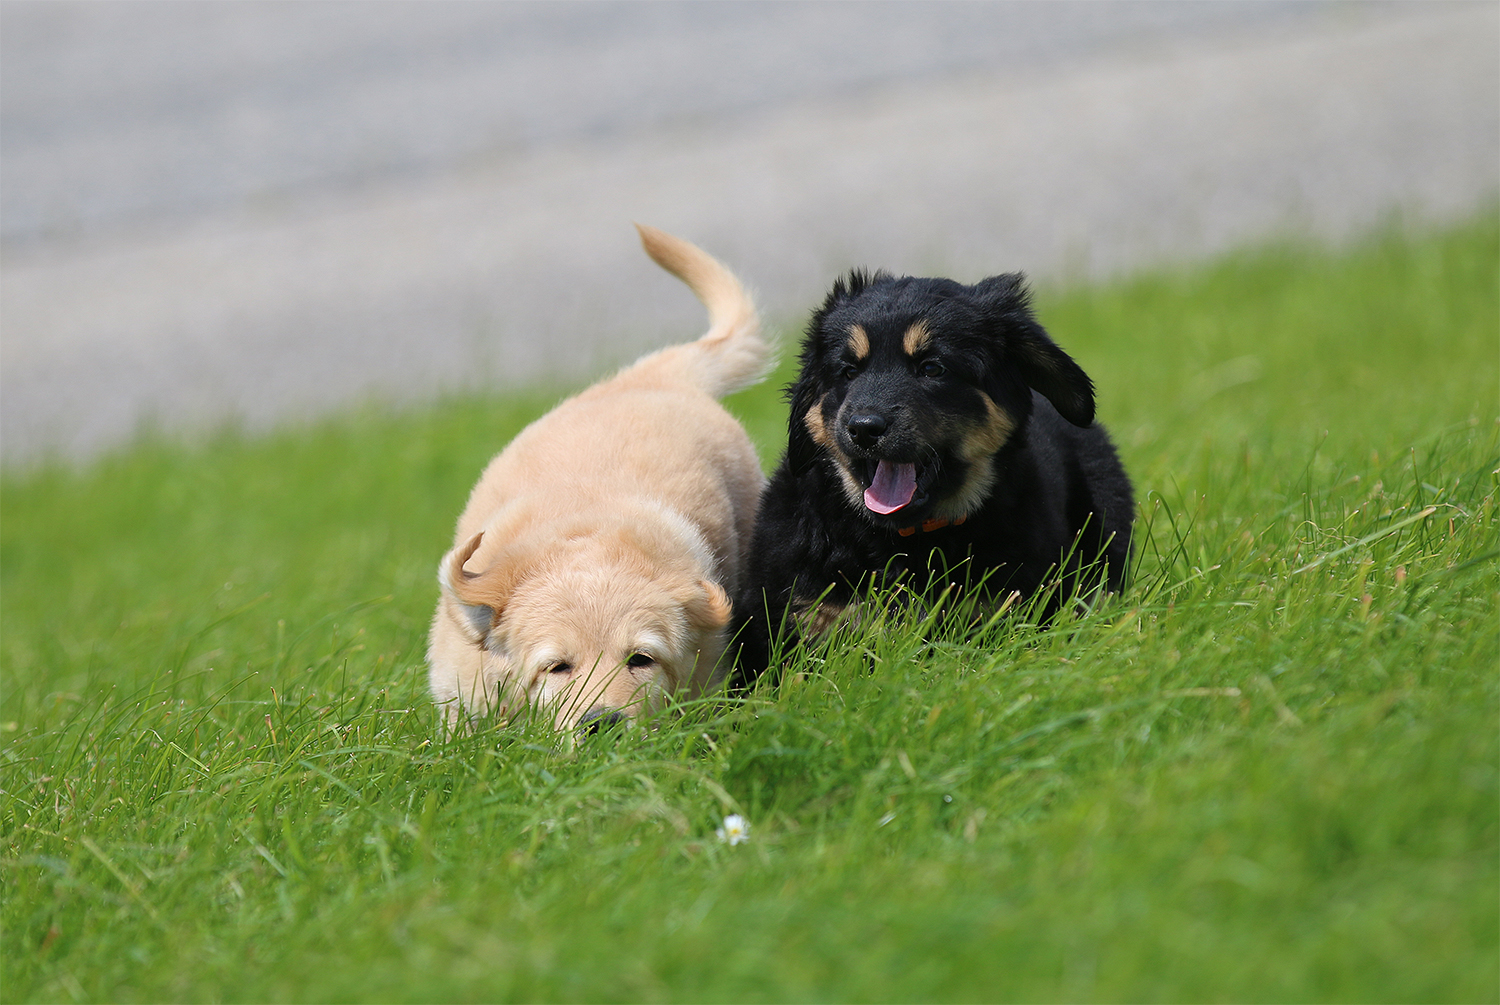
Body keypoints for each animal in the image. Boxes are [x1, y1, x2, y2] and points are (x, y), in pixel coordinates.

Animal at [428, 225, 768, 733]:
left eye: (641, 659)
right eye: (556, 668)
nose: (601, 725)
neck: (584, 529)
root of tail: (650, 377)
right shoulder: (462, 685)